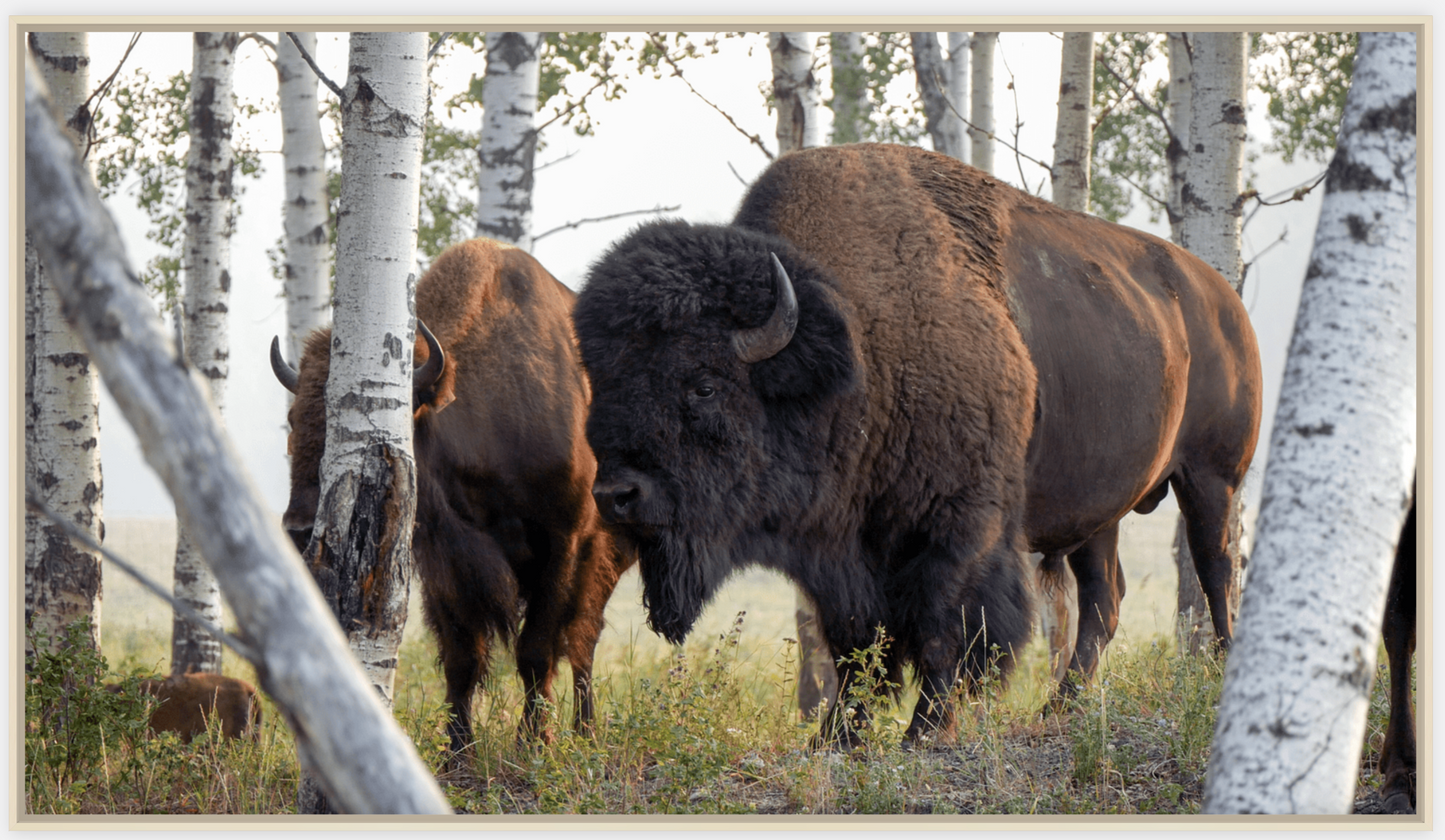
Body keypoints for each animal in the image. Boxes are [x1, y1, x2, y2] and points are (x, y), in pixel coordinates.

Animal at [271, 237, 632, 751]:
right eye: (294, 419)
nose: (299, 530)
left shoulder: (563, 542)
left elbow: (537, 650)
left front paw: (533, 743)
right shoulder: (442, 560)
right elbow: (463, 657)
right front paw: (456, 752)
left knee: (583, 640)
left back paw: (585, 731)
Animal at [575, 143, 1265, 740]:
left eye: (704, 385)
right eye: (601, 381)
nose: (615, 495)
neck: (857, 344)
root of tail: (1224, 299)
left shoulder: (958, 529)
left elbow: (945, 628)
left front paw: (925, 732)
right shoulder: (841, 553)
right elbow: (854, 646)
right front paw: (837, 738)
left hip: (1211, 479)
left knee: (1215, 569)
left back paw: (1218, 675)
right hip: (1101, 512)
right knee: (1105, 600)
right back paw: (1057, 710)